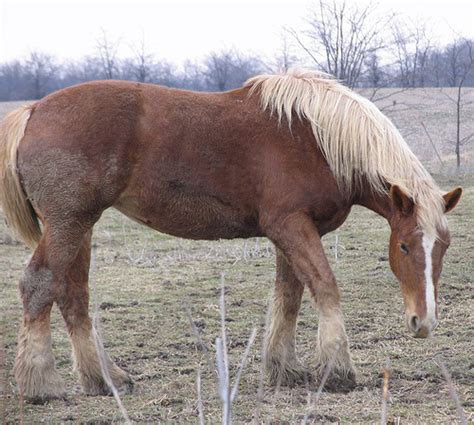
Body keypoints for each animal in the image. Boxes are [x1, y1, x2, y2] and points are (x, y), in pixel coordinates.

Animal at [0, 69, 462, 400]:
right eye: (404, 246)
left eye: (443, 248)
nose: (424, 322)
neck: (317, 138)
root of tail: (34, 111)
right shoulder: (292, 226)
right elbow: (325, 287)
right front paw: (338, 370)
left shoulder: (292, 232)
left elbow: (289, 296)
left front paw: (285, 369)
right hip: (69, 224)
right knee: (39, 285)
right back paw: (42, 384)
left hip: (80, 227)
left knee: (72, 296)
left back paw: (103, 379)